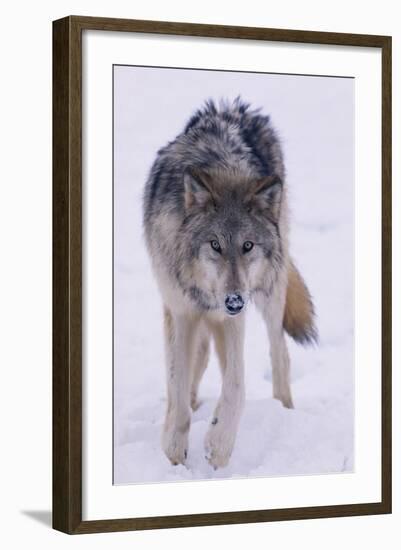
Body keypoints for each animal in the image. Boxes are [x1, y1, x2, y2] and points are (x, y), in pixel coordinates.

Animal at [142, 98, 314, 470]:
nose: (234, 301)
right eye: (215, 245)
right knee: (198, 360)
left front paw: (218, 445)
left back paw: (284, 410)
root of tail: (235, 106)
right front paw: (174, 449)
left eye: (247, 246)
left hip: (269, 291)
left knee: (279, 352)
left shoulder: (231, 317)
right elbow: (176, 383)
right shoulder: (181, 311)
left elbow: (236, 385)